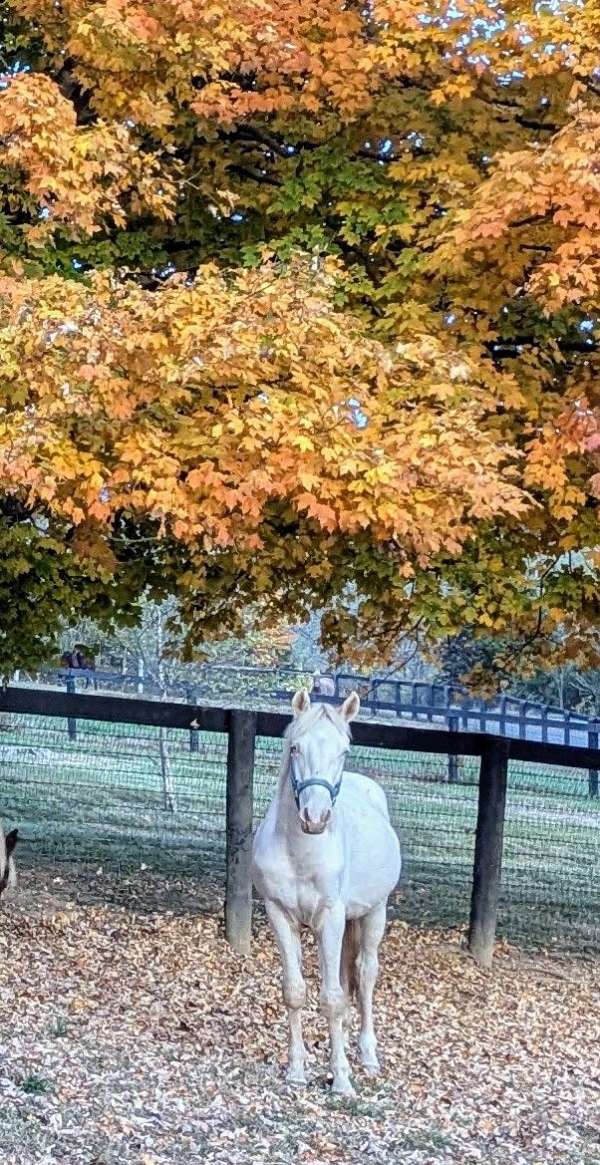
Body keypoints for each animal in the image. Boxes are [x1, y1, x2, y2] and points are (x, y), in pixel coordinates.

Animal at [251, 689, 400, 1090]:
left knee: (364, 975)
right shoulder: (279, 914)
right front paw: (297, 1071)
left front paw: (342, 1080)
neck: (300, 853)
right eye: (295, 748)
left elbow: (332, 998)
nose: (315, 818)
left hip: (374, 913)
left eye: (343, 752)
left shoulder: (329, 918)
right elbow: (295, 992)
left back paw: (366, 1056)